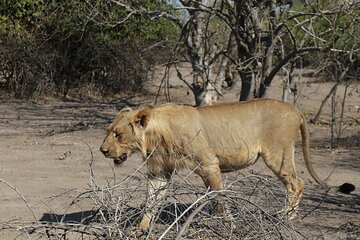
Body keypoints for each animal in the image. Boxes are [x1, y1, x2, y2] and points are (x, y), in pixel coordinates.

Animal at [98, 98, 354, 232]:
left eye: (118, 134)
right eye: (108, 132)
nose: (103, 151)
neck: (156, 134)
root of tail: (295, 108)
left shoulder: (209, 165)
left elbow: (219, 198)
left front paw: (229, 226)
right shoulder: (159, 172)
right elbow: (151, 201)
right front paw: (140, 229)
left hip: (278, 154)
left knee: (297, 183)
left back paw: (285, 218)